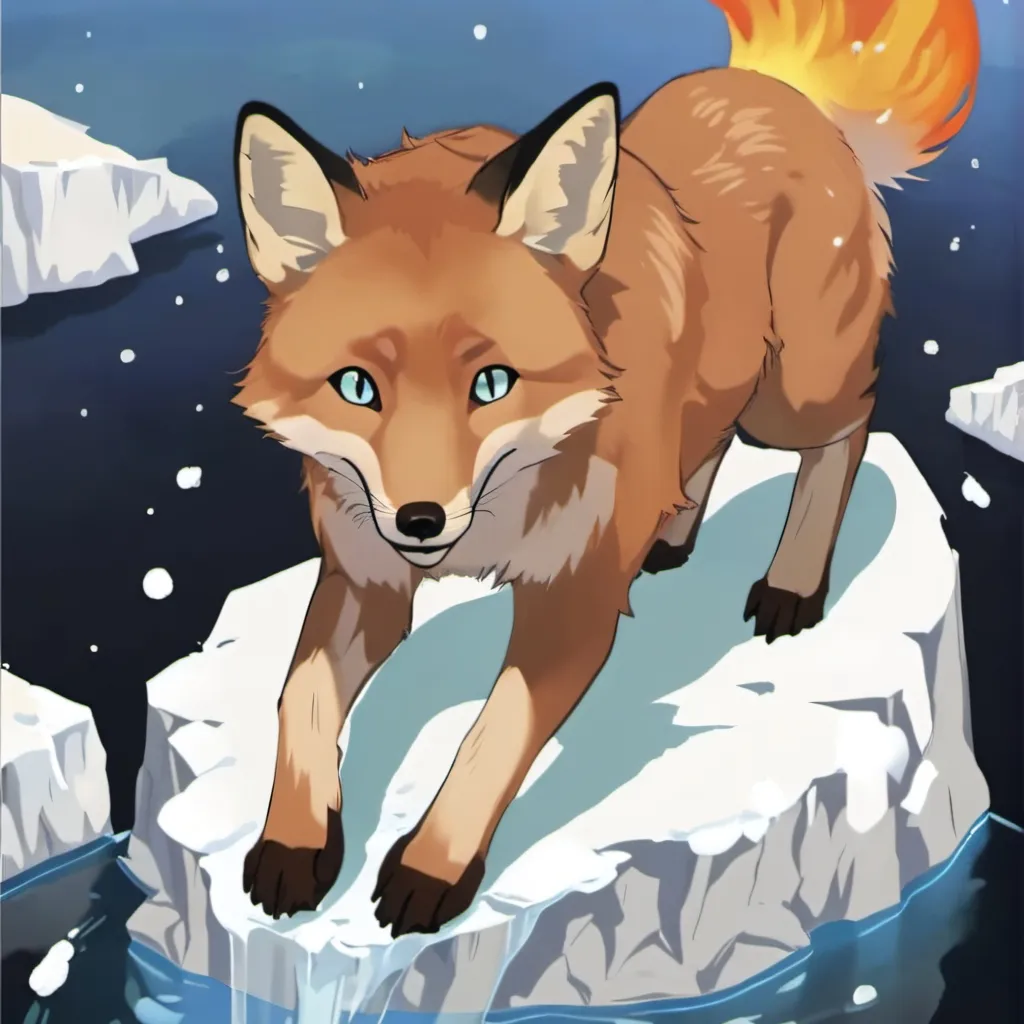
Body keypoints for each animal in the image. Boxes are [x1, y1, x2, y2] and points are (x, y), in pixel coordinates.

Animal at [233, 0, 980, 937]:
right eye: (358, 387)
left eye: (491, 383)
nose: (420, 520)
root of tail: (777, 91)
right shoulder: (366, 578)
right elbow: (297, 699)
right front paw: (294, 841)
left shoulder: (573, 600)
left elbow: (491, 738)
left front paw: (431, 867)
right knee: (706, 440)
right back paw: (672, 534)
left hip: (792, 398)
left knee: (848, 431)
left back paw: (795, 581)